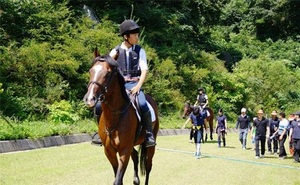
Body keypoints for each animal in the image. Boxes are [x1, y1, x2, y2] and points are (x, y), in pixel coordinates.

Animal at [83, 52, 159, 184]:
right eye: (90, 71)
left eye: (108, 73)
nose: (90, 99)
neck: (114, 117)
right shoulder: (109, 151)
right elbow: (117, 177)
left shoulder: (124, 150)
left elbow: (118, 180)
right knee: (135, 156)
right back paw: (136, 180)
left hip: (150, 145)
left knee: (148, 166)